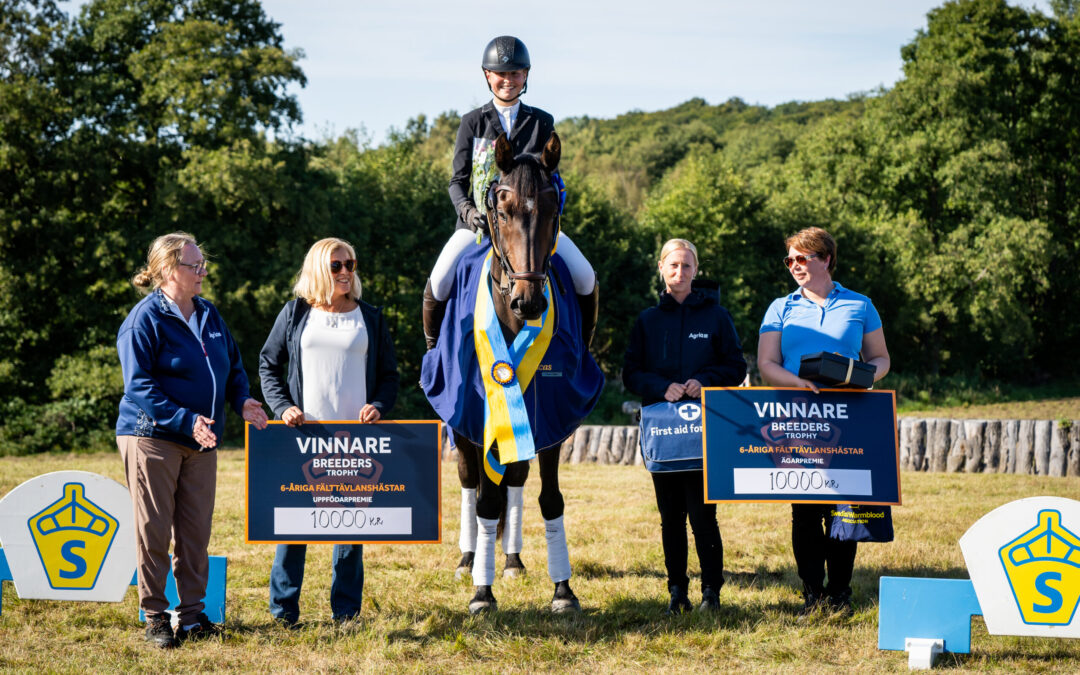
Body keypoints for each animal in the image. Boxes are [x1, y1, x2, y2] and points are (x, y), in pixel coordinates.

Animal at [421, 129, 604, 613]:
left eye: (553, 208)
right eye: (500, 212)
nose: (529, 302)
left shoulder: (552, 415)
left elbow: (550, 498)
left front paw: (563, 590)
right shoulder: (477, 411)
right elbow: (486, 502)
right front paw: (481, 593)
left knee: (517, 480)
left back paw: (513, 561)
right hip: (461, 422)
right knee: (470, 483)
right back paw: (469, 560)